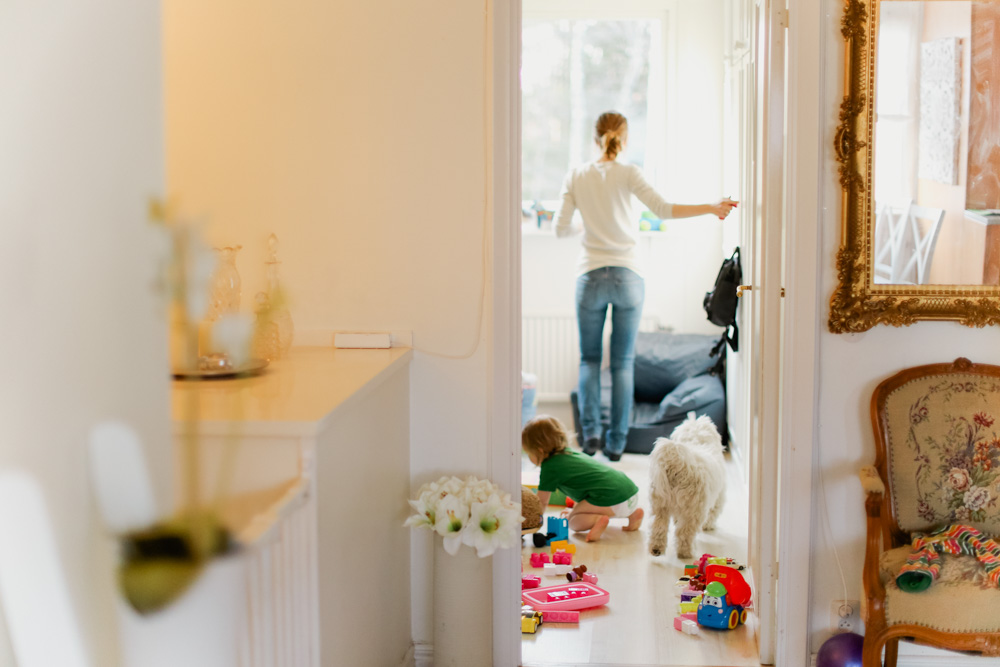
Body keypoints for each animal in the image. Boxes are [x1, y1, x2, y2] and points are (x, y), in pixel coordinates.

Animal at [648, 414, 728, 560]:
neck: (697, 441)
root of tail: (680, 466)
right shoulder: (718, 497)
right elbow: (713, 513)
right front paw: (708, 526)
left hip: (659, 505)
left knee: (658, 526)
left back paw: (656, 549)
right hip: (693, 511)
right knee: (684, 534)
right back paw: (686, 553)